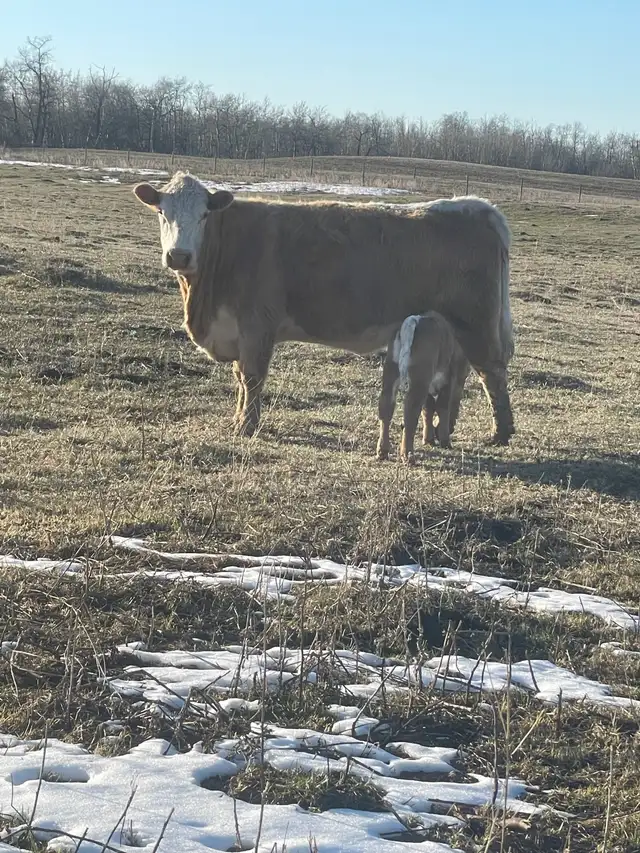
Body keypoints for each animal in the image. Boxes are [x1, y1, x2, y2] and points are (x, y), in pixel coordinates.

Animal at [133, 172, 515, 444]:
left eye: (203, 216)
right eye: (162, 213)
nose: (179, 256)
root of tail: (475, 206)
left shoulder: (257, 325)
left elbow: (252, 377)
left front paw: (246, 427)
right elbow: (241, 378)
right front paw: (239, 419)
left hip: (477, 323)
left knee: (492, 372)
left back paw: (500, 433)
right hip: (454, 331)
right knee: (461, 376)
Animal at [377, 311, 471, 462]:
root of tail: (415, 320)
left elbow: (428, 409)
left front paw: (428, 440)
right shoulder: (447, 380)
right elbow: (442, 408)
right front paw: (445, 442)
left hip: (391, 373)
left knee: (386, 407)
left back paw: (383, 452)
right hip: (419, 380)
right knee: (410, 413)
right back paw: (408, 456)